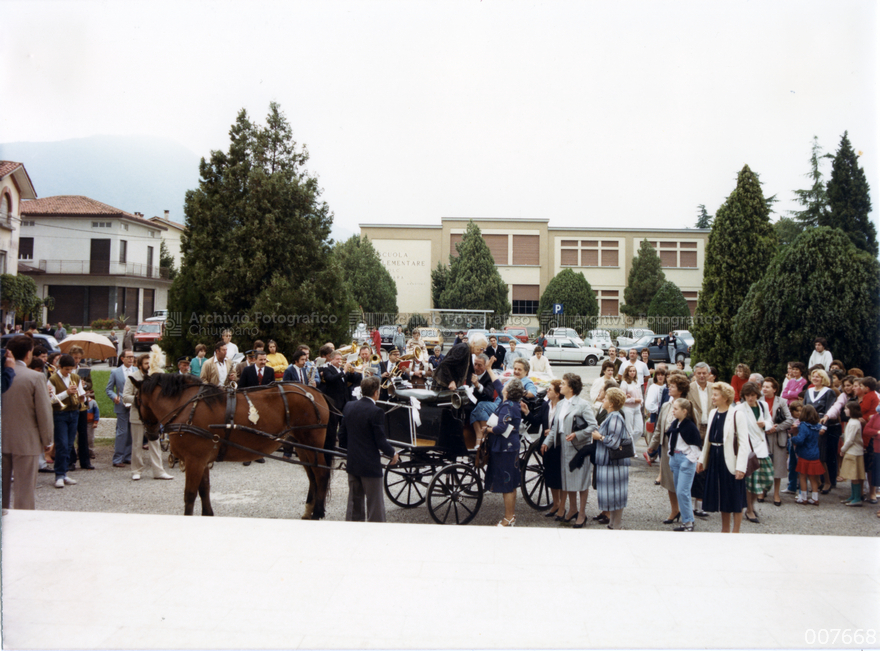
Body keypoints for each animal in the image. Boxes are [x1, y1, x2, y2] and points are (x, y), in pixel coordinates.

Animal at [132, 372, 336, 520]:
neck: (187, 407)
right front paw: (208, 514)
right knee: (312, 476)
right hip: (301, 445)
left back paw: (317, 513)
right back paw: (309, 510)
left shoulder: (194, 460)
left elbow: (190, 494)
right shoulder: (202, 460)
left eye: (136, 402)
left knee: (321, 474)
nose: (150, 434)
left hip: (311, 441)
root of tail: (315, 392)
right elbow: (204, 489)